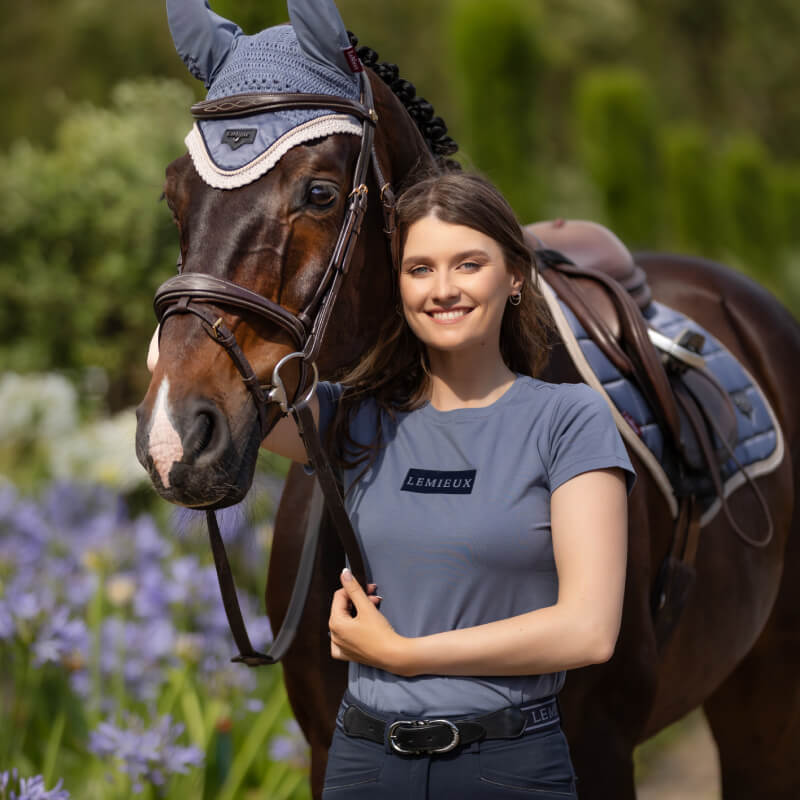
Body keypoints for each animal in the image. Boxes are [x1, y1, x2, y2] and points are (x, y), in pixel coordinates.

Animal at [138, 7, 800, 800]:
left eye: (320, 193)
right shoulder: (330, 749)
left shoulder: (603, 753)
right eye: (174, 195)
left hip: (766, 701)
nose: (178, 433)